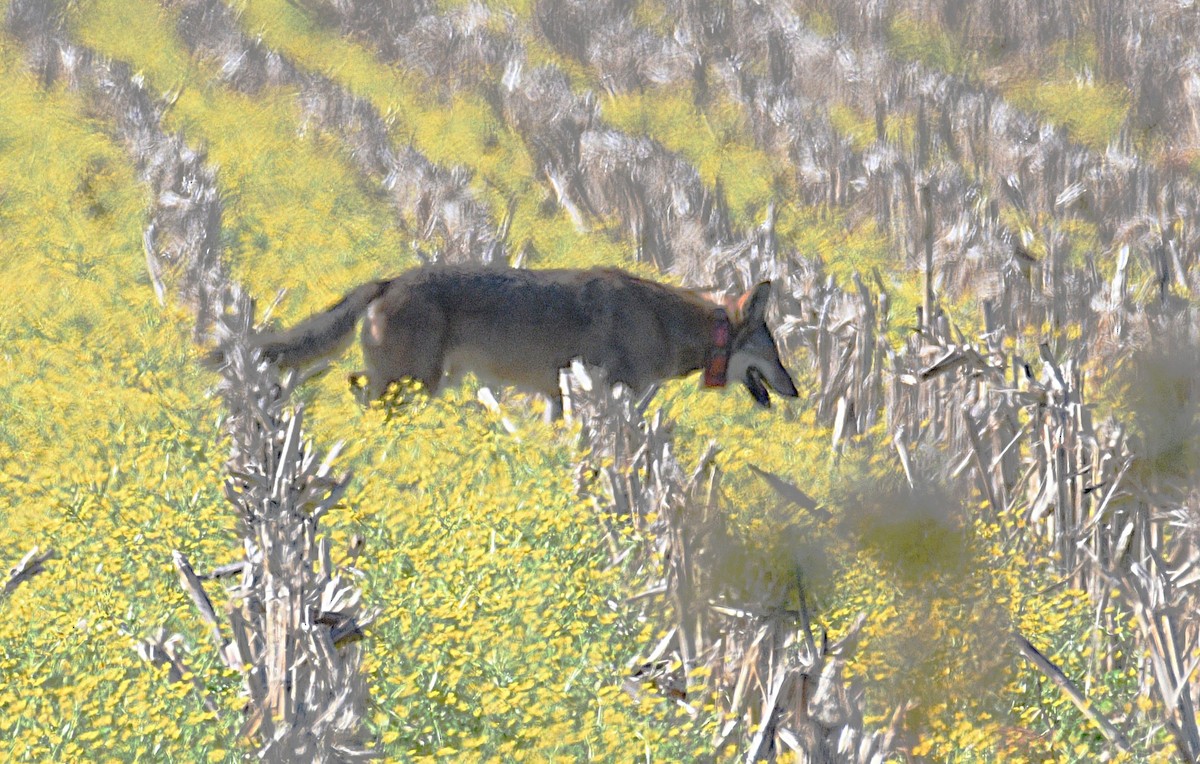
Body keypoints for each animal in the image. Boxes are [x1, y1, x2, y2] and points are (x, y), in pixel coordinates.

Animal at [238, 265, 799, 415]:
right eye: (776, 354)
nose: (797, 391)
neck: (666, 324)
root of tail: (391, 278)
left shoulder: (561, 396)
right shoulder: (610, 394)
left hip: (414, 383)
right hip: (411, 384)